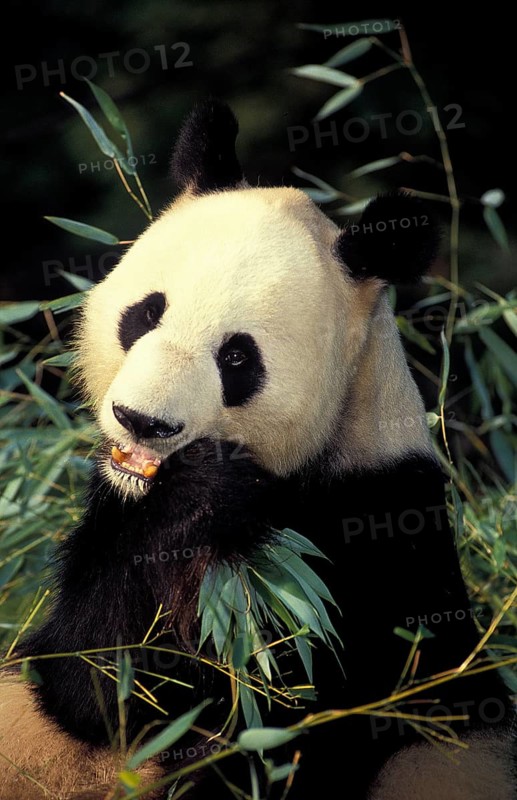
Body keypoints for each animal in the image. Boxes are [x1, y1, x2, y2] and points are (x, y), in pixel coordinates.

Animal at [0, 100, 515, 800]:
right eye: (146, 313)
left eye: (238, 359)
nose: (143, 421)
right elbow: (93, 672)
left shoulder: (378, 537)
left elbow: (238, 710)